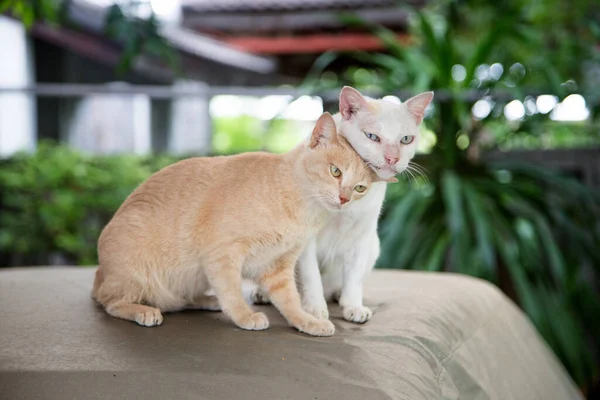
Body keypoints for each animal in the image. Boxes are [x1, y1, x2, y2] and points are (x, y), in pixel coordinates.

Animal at [94, 113, 384, 338]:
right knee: (111, 302)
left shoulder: (279, 267)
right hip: (136, 277)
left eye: (360, 188)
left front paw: (308, 321)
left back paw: (206, 300)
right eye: (335, 171)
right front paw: (245, 316)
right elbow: (232, 291)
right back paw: (144, 311)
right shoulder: (223, 255)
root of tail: (101, 274)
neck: (301, 207)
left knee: (178, 300)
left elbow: (290, 301)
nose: (344, 199)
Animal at [252, 86, 432, 322]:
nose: (392, 159)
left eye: (406, 139)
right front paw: (314, 309)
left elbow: (354, 276)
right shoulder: (307, 240)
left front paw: (353, 306)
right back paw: (263, 293)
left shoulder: (362, 236)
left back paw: (338, 294)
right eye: (372, 136)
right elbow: (311, 276)